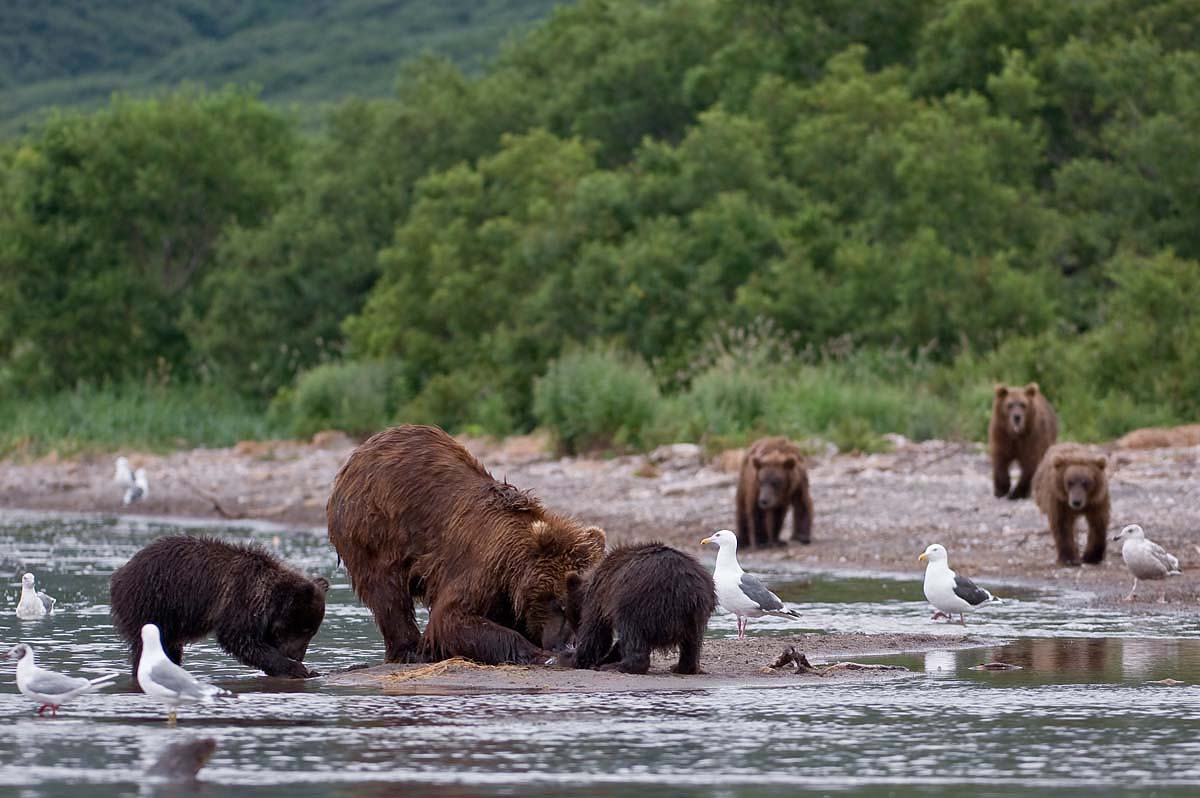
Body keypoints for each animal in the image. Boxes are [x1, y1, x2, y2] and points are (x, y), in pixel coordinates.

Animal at [109, 535, 328, 676]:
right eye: (305, 629)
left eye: (312, 631)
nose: (298, 656)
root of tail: (119, 574)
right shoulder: (242, 597)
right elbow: (239, 639)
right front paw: (298, 669)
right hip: (152, 604)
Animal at [324, 422, 604, 667]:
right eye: (559, 602)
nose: (566, 645)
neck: (511, 568)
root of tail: (358, 454)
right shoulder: (479, 566)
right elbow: (451, 618)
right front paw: (538, 653)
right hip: (373, 528)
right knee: (388, 593)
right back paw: (410, 650)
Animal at [559, 542, 710, 672]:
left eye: (573, 619)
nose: (574, 642)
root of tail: (686, 591)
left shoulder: (599, 598)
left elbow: (597, 635)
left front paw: (571, 658)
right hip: (695, 615)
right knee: (692, 643)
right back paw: (682, 667)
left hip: (640, 601)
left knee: (631, 631)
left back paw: (618, 666)